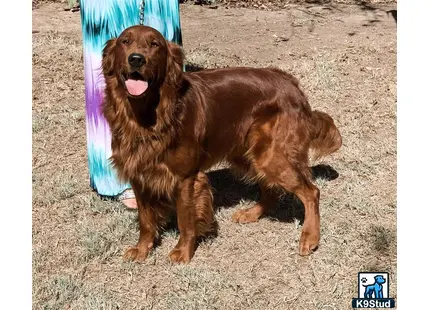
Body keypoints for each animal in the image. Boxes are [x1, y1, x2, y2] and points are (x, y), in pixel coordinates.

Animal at [101, 24, 342, 264]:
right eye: (125, 41)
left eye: (154, 44)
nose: (136, 59)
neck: (148, 115)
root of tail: (292, 84)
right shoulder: (138, 174)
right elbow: (145, 220)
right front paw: (142, 249)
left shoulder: (186, 178)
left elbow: (185, 220)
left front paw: (183, 252)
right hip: (251, 153)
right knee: (271, 188)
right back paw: (251, 213)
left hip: (270, 154)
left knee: (311, 192)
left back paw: (310, 237)